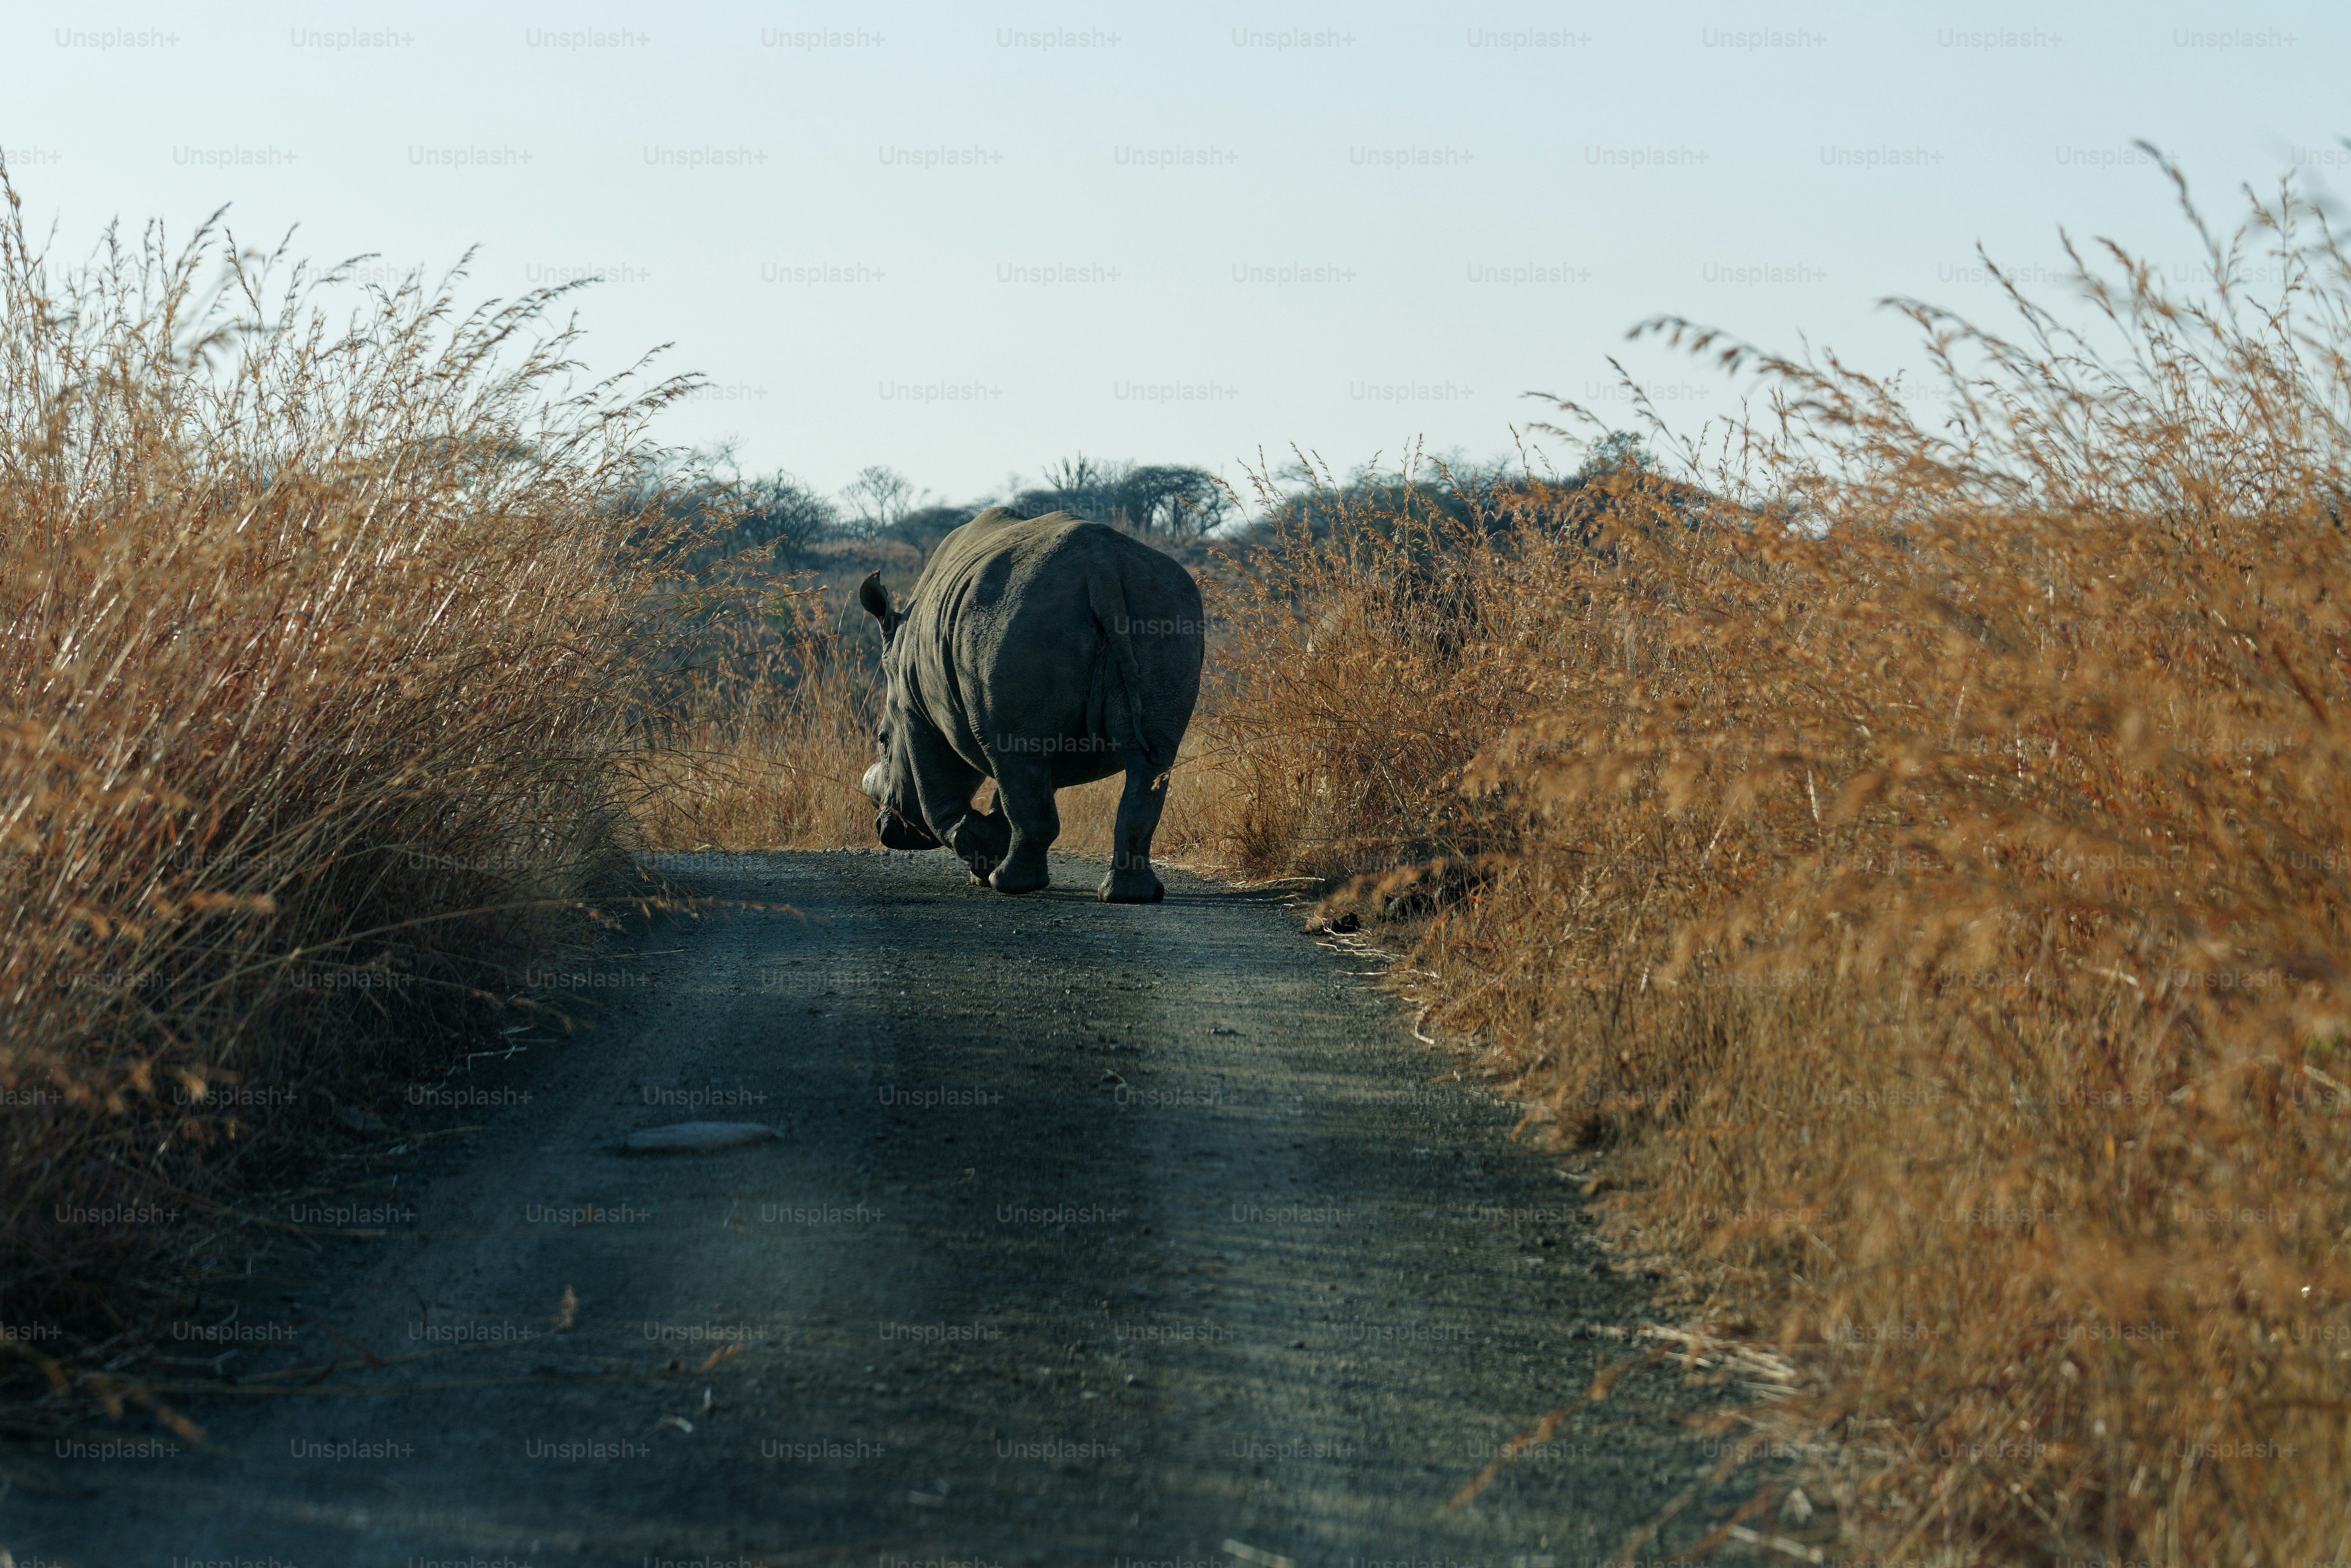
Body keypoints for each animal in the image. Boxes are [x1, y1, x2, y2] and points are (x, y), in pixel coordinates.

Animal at [858, 508, 1204, 902]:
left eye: (882, 741)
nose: (887, 831)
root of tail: (1102, 569)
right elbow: (1021, 788)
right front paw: (985, 858)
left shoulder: (915, 711)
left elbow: (938, 791)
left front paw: (980, 856)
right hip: (1163, 610)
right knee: (1150, 760)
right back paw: (1130, 895)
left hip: (1017, 618)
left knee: (1019, 755)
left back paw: (1011, 885)